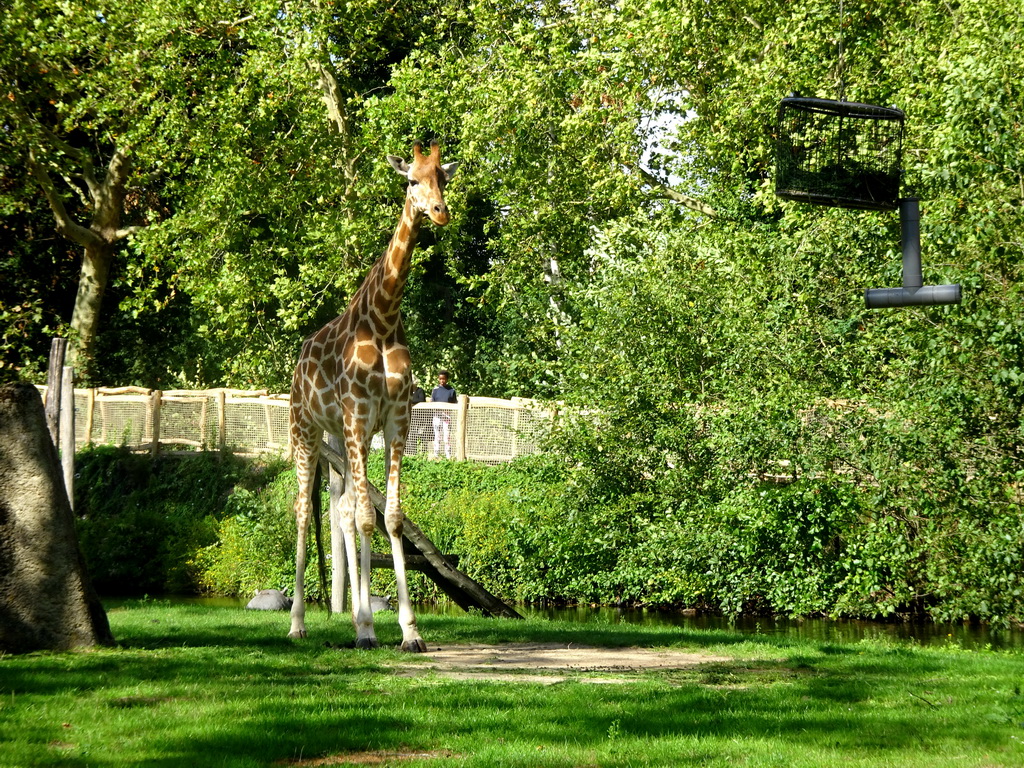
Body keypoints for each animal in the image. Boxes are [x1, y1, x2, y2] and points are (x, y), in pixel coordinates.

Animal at [290, 140, 462, 651]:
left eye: (442, 179)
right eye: (412, 180)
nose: (440, 212)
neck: (384, 319)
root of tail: (297, 363)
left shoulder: (394, 418)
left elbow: (390, 519)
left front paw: (408, 630)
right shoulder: (357, 414)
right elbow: (368, 517)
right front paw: (370, 625)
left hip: (352, 437)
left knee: (343, 509)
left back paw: (352, 619)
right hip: (307, 430)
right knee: (304, 511)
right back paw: (299, 623)